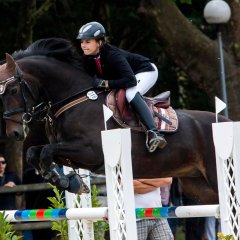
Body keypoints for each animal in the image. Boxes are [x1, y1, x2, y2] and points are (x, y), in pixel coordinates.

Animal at [0, 38, 230, 203]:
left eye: (13, 90)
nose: (14, 133)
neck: (73, 98)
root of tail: (226, 120)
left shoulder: (90, 151)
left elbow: (46, 151)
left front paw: (64, 180)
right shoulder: (71, 152)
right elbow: (35, 153)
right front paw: (67, 181)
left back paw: (155, 138)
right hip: (198, 185)